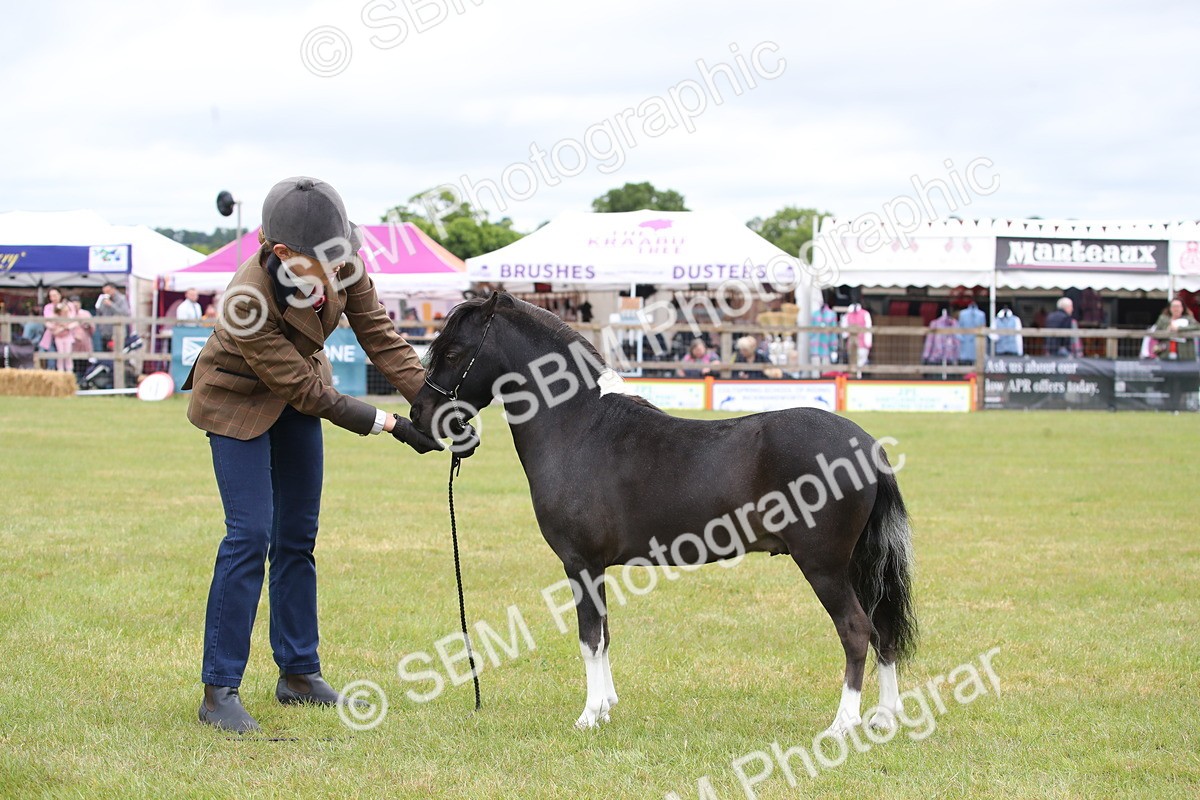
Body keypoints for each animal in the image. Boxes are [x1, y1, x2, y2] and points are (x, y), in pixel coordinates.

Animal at [410, 292, 917, 735]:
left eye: (453, 351)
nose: (420, 414)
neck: (579, 425)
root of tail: (866, 444)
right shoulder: (596, 568)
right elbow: (605, 634)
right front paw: (606, 708)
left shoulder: (580, 563)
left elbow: (589, 638)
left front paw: (588, 716)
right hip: (857, 564)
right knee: (882, 632)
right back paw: (885, 717)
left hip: (824, 566)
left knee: (856, 631)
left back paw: (843, 723)